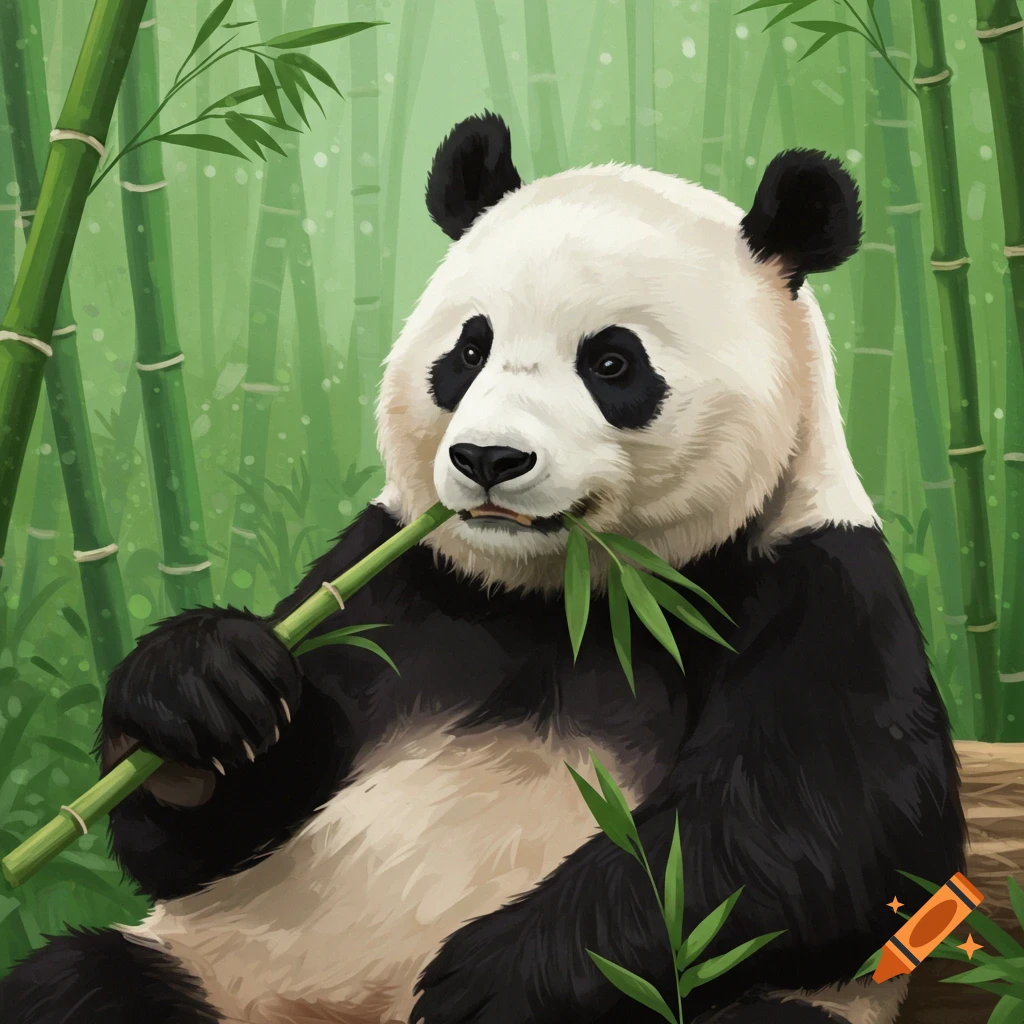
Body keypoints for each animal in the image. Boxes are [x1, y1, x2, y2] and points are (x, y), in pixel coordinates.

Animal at [1, 113, 965, 1024]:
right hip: (222, 970)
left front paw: (484, 980)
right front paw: (201, 689)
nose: (489, 458)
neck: (562, 596)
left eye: (612, 361)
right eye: (468, 351)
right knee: (79, 985)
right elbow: (199, 838)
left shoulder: (811, 579)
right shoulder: (390, 581)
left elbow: (831, 830)